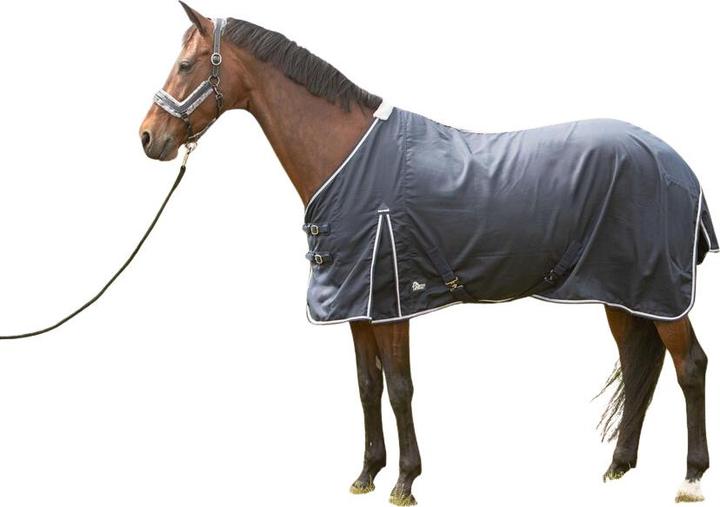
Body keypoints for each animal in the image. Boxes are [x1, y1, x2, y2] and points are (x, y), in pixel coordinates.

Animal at [139, 3, 716, 505]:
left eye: (186, 65)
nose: (148, 137)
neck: (349, 159)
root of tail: (678, 165)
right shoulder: (357, 305)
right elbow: (367, 386)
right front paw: (367, 473)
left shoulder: (392, 302)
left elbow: (399, 388)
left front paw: (405, 481)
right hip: (622, 292)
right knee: (639, 365)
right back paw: (619, 465)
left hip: (661, 292)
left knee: (689, 364)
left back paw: (690, 478)